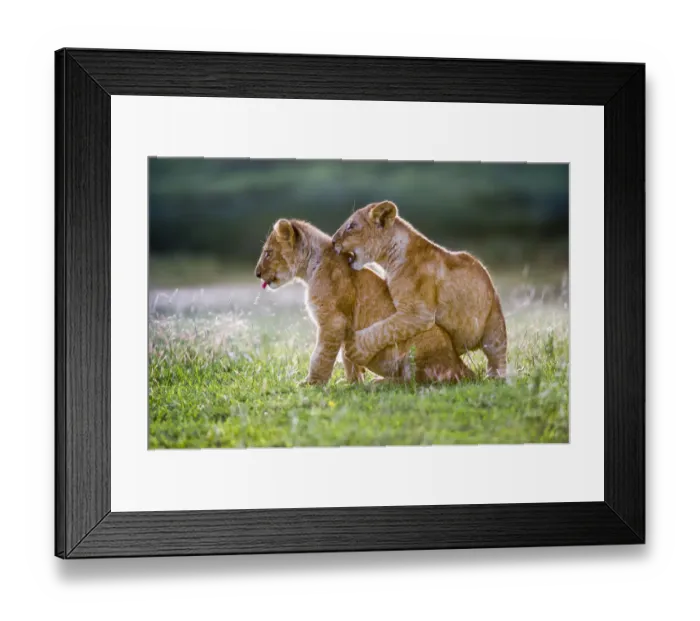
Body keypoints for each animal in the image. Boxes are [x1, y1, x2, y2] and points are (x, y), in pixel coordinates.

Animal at [254, 218, 473, 385]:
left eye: (268, 253)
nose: (257, 274)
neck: (310, 269)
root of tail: (462, 366)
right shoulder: (345, 324)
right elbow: (346, 356)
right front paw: (353, 383)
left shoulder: (333, 321)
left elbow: (320, 356)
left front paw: (311, 384)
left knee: (415, 381)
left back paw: (380, 383)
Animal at [331, 201, 507, 378]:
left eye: (351, 226)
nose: (332, 241)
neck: (390, 258)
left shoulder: (418, 313)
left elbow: (385, 329)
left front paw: (356, 349)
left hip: (495, 326)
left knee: (497, 357)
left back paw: (495, 377)